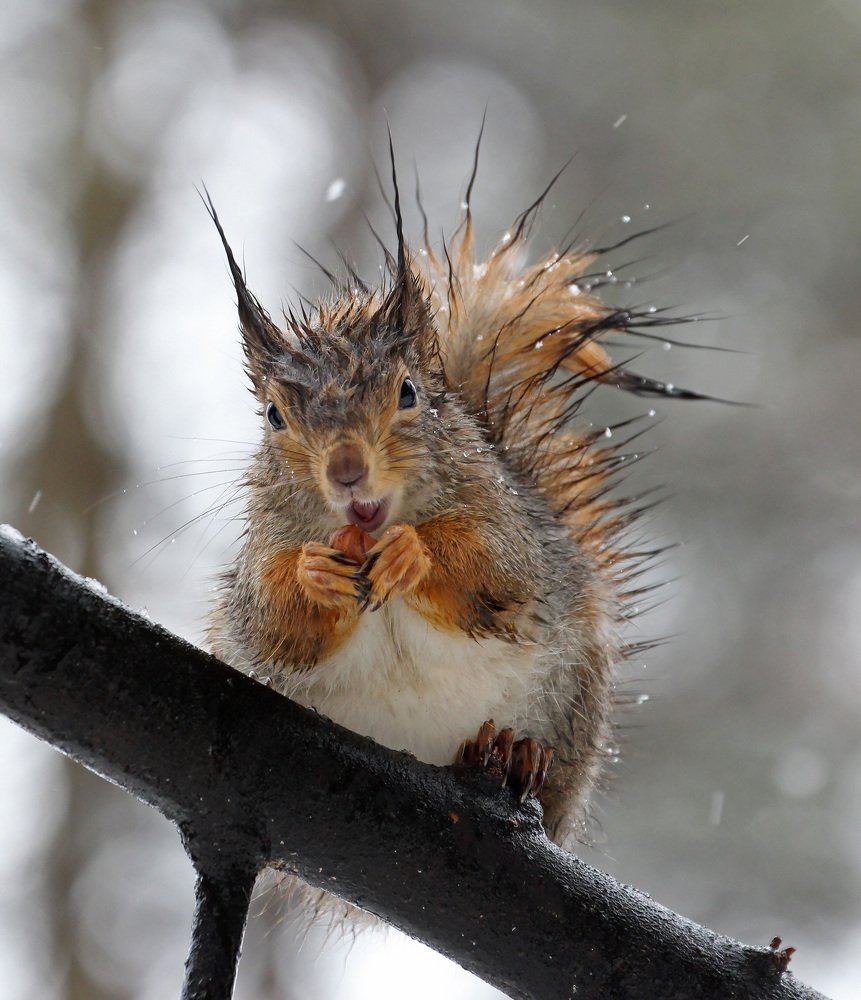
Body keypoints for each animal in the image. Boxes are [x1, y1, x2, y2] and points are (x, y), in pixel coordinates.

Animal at [204, 149, 707, 852]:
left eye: (408, 393)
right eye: (275, 416)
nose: (347, 471)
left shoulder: (512, 529)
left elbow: (494, 567)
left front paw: (414, 553)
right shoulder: (261, 559)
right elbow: (271, 622)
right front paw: (312, 574)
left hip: (575, 702)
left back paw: (509, 755)